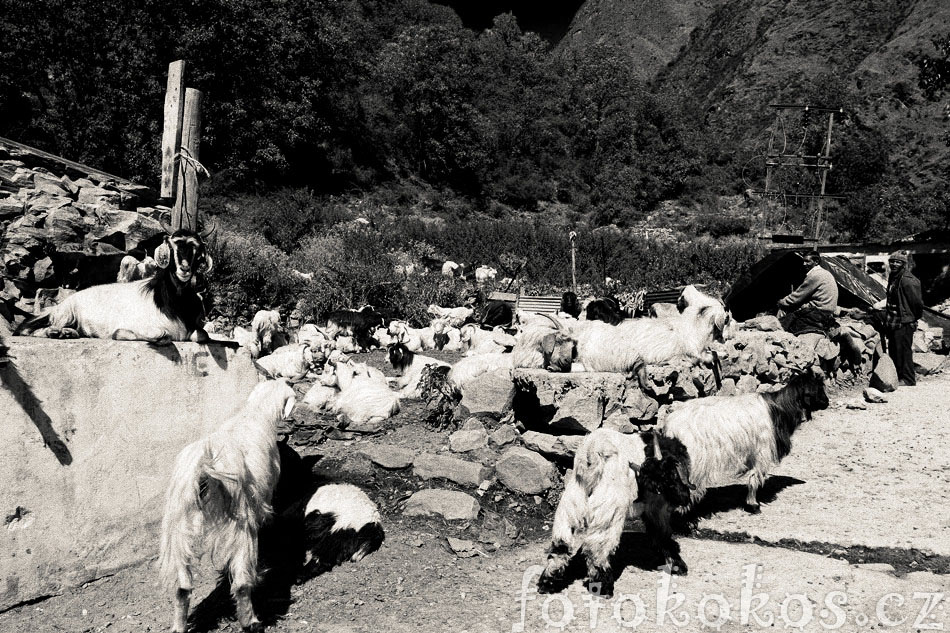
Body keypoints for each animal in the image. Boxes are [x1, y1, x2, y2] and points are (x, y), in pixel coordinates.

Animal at [156, 380, 298, 632]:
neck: (253, 413)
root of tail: (205, 466)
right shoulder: (264, 493)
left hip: (178, 523)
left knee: (182, 587)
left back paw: (180, 625)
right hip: (239, 521)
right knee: (241, 582)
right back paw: (251, 621)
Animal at [540, 428, 696, 596]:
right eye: (672, 475)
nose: (684, 498)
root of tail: (592, 455)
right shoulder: (656, 508)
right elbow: (662, 533)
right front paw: (677, 565)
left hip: (571, 505)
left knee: (561, 543)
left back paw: (548, 582)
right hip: (609, 509)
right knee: (597, 547)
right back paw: (602, 585)